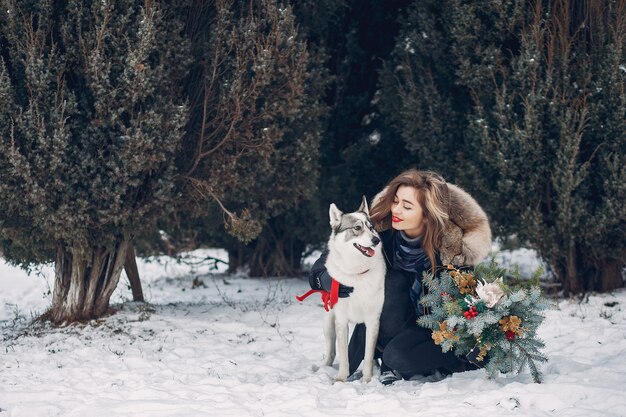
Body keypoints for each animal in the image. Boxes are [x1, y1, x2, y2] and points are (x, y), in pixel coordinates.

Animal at [324, 197, 382, 382]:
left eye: (371, 227)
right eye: (357, 228)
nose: (376, 240)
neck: (357, 273)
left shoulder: (372, 320)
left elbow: (368, 355)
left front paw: (368, 380)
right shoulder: (341, 321)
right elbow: (344, 355)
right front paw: (341, 379)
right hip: (329, 323)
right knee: (330, 352)